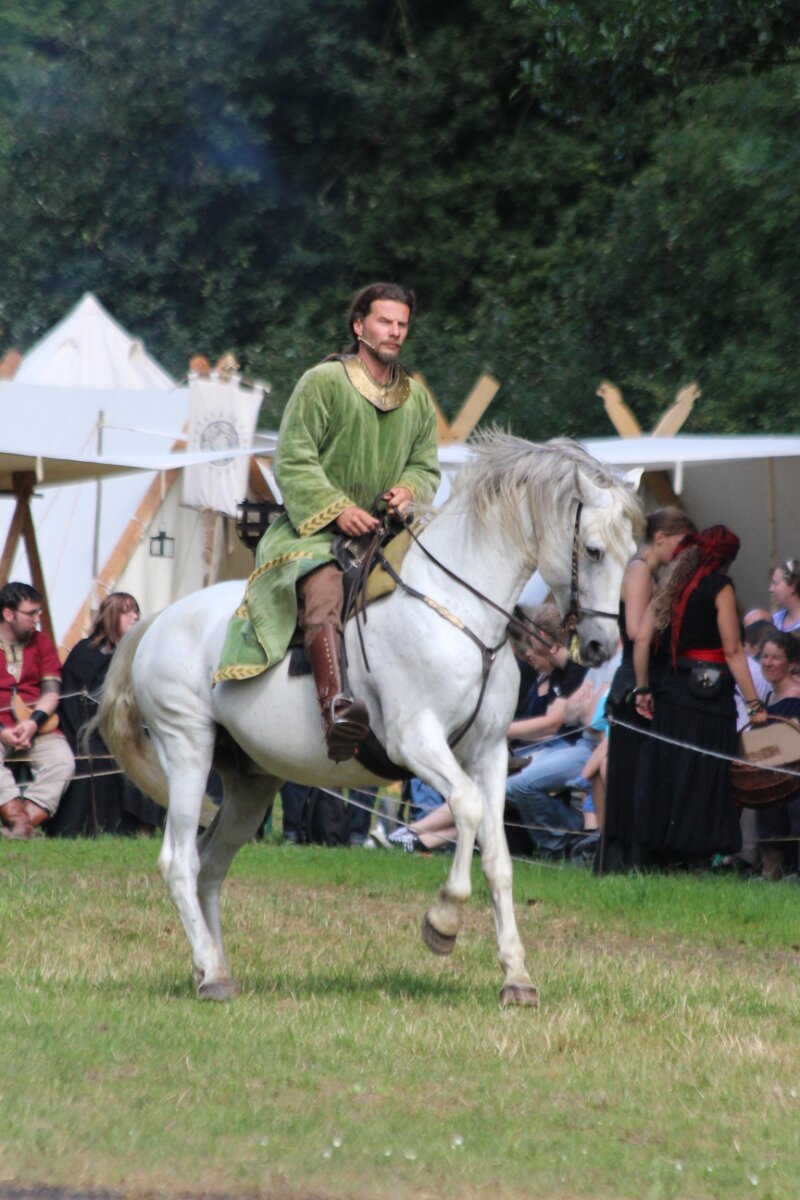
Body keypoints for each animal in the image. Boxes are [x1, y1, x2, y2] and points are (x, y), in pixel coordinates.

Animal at [98, 432, 641, 1005]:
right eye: (594, 550)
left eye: (631, 553)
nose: (603, 647)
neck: (457, 607)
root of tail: (160, 620)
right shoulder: (417, 743)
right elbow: (467, 809)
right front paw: (443, 922)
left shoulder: (490, 754)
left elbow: (498, 857)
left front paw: (516, 976)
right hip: (188, 751)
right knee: (180, 862)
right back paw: (210, 973)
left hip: (251, 783)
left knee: (210, 866)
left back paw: (216, 968)